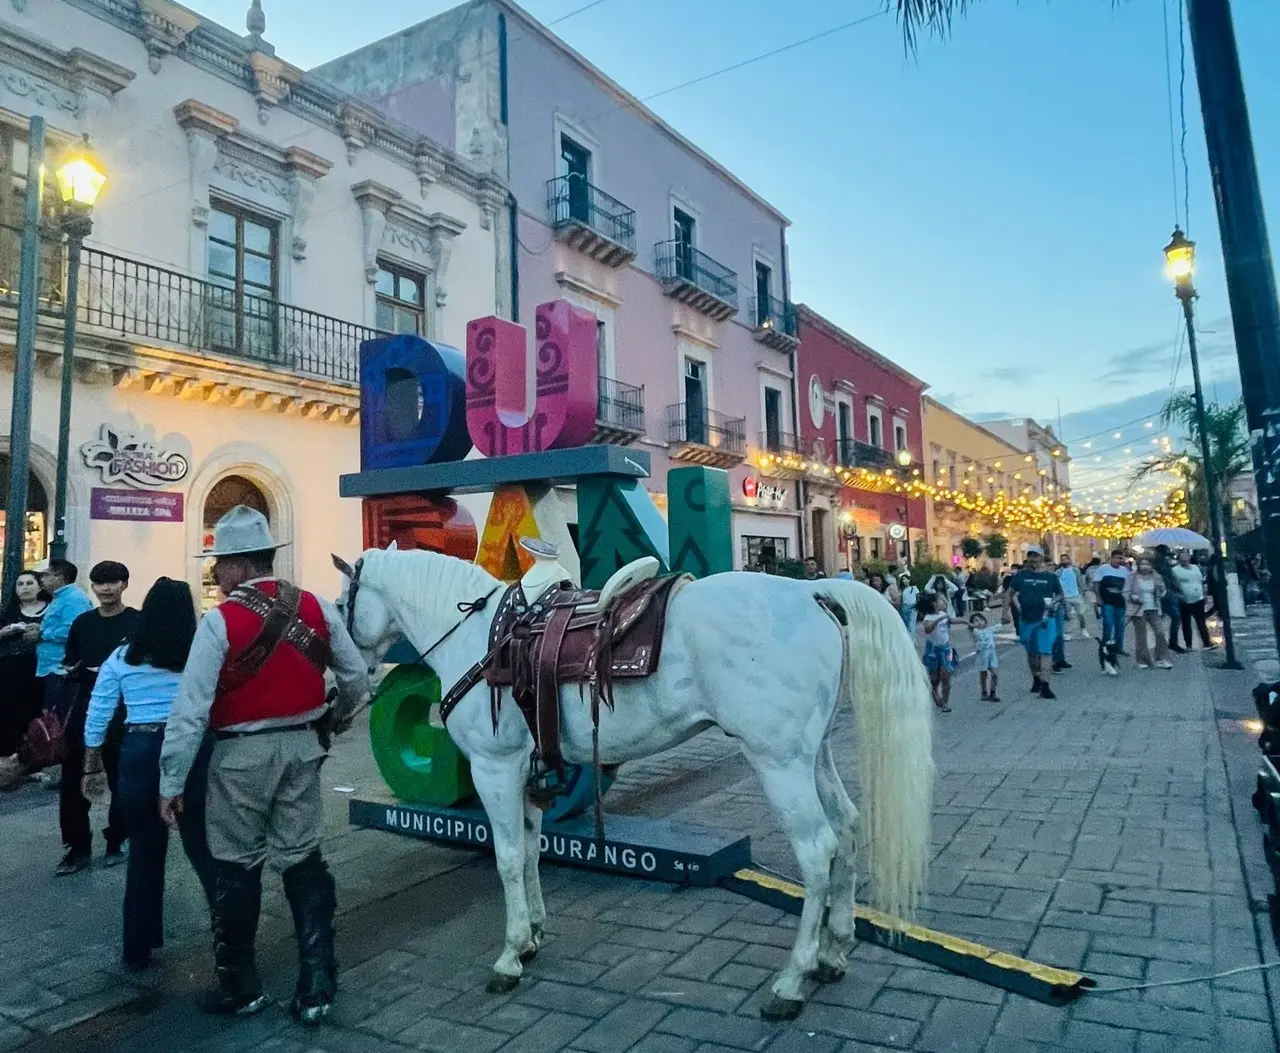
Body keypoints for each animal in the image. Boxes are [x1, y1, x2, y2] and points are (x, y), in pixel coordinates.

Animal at [335, 552, 936, 1023]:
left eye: (342, 603)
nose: (346, 685)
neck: (483, 641)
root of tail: (811, 591)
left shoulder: (494, 768)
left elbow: (506, 857)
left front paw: (509, 956)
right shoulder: (525, 774)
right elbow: (529, 851)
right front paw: (532, 935)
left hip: (780, 763)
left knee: (817, 852)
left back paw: (791, 981)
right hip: (813, 755)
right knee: (847, 827)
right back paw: (835, 952)